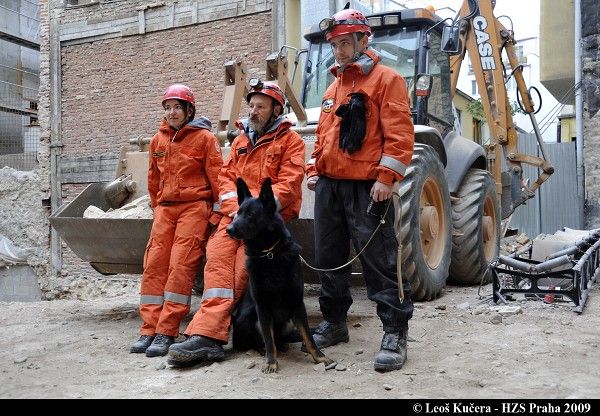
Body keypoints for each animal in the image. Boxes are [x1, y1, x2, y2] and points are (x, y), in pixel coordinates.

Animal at [227, 177, 336, 372]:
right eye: (237, 213)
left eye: (251, 214)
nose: (228, 229)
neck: (270, 254)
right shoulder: (262, 308)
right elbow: (269, 340)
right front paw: (271, 362)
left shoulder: (297, 303)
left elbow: (308, 336)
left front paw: (319, 357)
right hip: (249, 317)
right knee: (261, 342)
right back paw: (264, 350)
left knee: (281, 339)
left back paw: (283, 345)